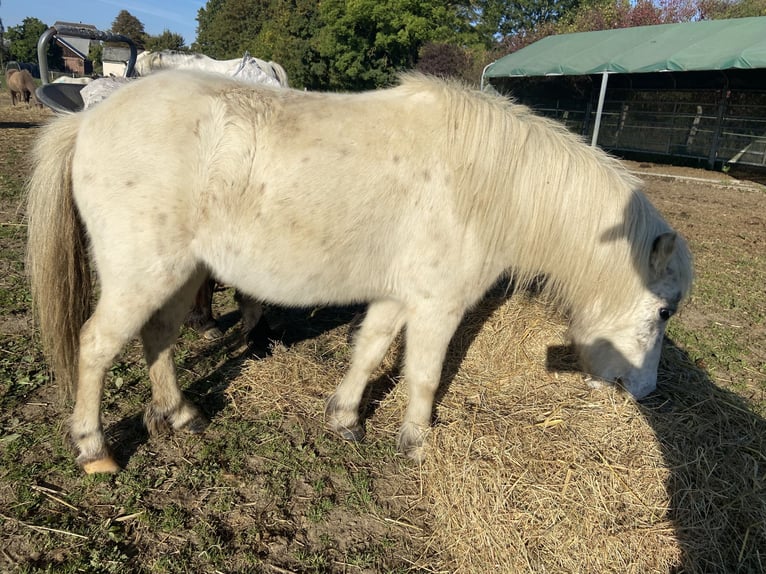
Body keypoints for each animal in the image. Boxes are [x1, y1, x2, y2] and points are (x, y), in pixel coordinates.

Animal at [26, 71, 693, 474]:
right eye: (663, 312)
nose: (644, 393)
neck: (492, 181)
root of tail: (88, 120)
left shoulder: (400, 296)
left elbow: (370, 349)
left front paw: (345, 418)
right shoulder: (439, 305)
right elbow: (424, 374)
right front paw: (416, 442)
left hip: (181, 273)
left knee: (158, 337)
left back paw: (181, 414)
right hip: (143, 274)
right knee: (96, 346)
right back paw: (93, 450)